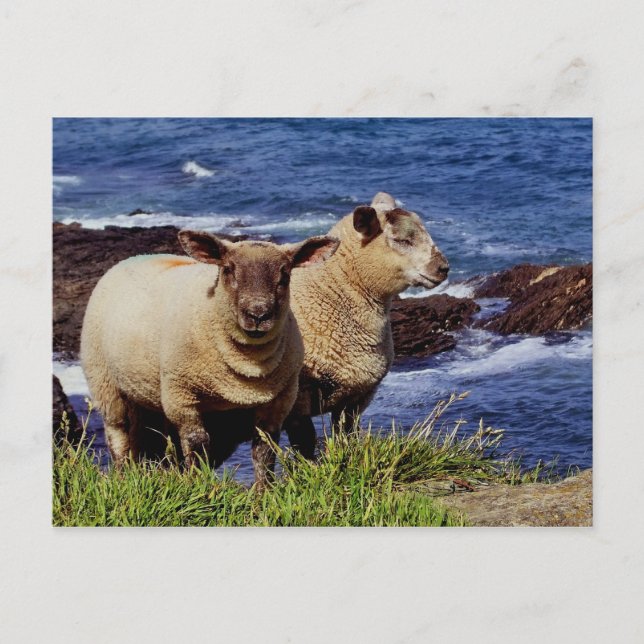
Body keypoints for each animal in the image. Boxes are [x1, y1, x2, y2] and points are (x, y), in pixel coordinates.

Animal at [80, 230, 339, 487]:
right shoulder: (181, 395)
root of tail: (136, 256)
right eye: (228, 269)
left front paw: (263, 491)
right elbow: (196, 442)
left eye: (285, 274)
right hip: (105, 384)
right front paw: (197, 484)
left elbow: (264, 448)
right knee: (118, 436)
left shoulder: (279, 400)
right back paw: (123, 476)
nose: (258, 314)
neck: (248, 362)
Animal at [283, 192, 449, 457]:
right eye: (401, 239)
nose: (443, 268)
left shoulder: (355, 397)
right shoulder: (296, 401)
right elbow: (305, 445)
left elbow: (347, 437)